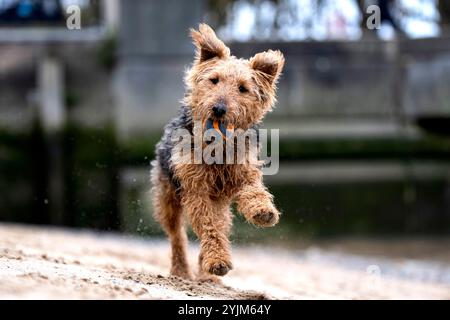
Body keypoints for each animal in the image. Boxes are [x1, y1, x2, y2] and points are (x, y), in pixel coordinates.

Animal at [151, 22, 284, 282]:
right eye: (214, 80)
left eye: (243, 88)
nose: (219, 108)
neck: (217, 147)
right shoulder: (196, 190)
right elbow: (208, 226)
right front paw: (217, 261)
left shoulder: (244, 173)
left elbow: (253, 191)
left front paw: (263, 211)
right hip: (168, 196)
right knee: (177, 235)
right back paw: (182, 270)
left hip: (219, 203)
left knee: (219, 225)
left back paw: (205, 273)